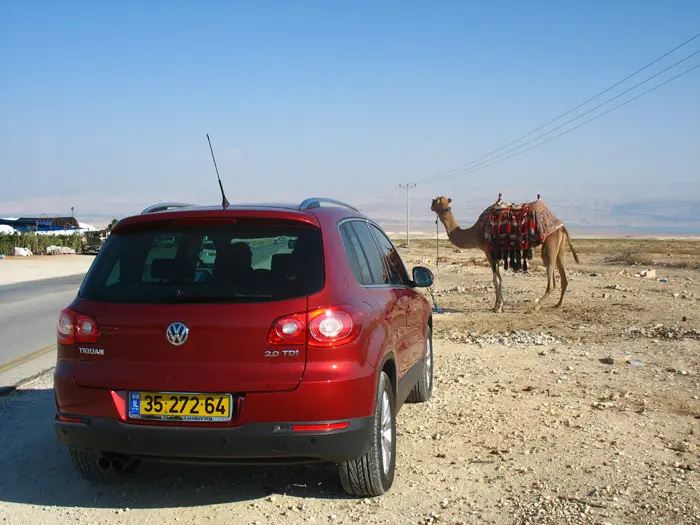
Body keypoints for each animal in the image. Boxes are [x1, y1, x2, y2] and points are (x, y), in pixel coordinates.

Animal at [430, 195, 584, 312]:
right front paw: (497, 305)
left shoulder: (488, 251)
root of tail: (561, 225)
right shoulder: (495, 253)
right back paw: (558, 304)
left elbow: (495, 279)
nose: (432, 205)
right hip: (560, 247)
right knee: (563, 276)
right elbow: (498, 279)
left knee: (551, 276)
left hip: (551, 243)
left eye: (437, 201)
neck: (475, 232)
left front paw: (498, 307)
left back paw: (535, 307)